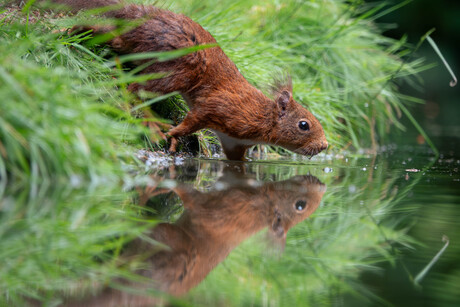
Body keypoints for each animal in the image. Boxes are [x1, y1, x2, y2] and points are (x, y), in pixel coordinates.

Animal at [45, 0, 328, 161]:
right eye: (304, 125)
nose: (325, 146)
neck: (261, 116)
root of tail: (144, 15)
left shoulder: (234, 142)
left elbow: (236, 161)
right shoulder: (220, 108)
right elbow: (193, 119)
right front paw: (174, 134)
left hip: (135, 47)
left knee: (109, 35)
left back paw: (71, 31)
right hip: (177, 70)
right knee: (136, 90)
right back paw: (154, 125)